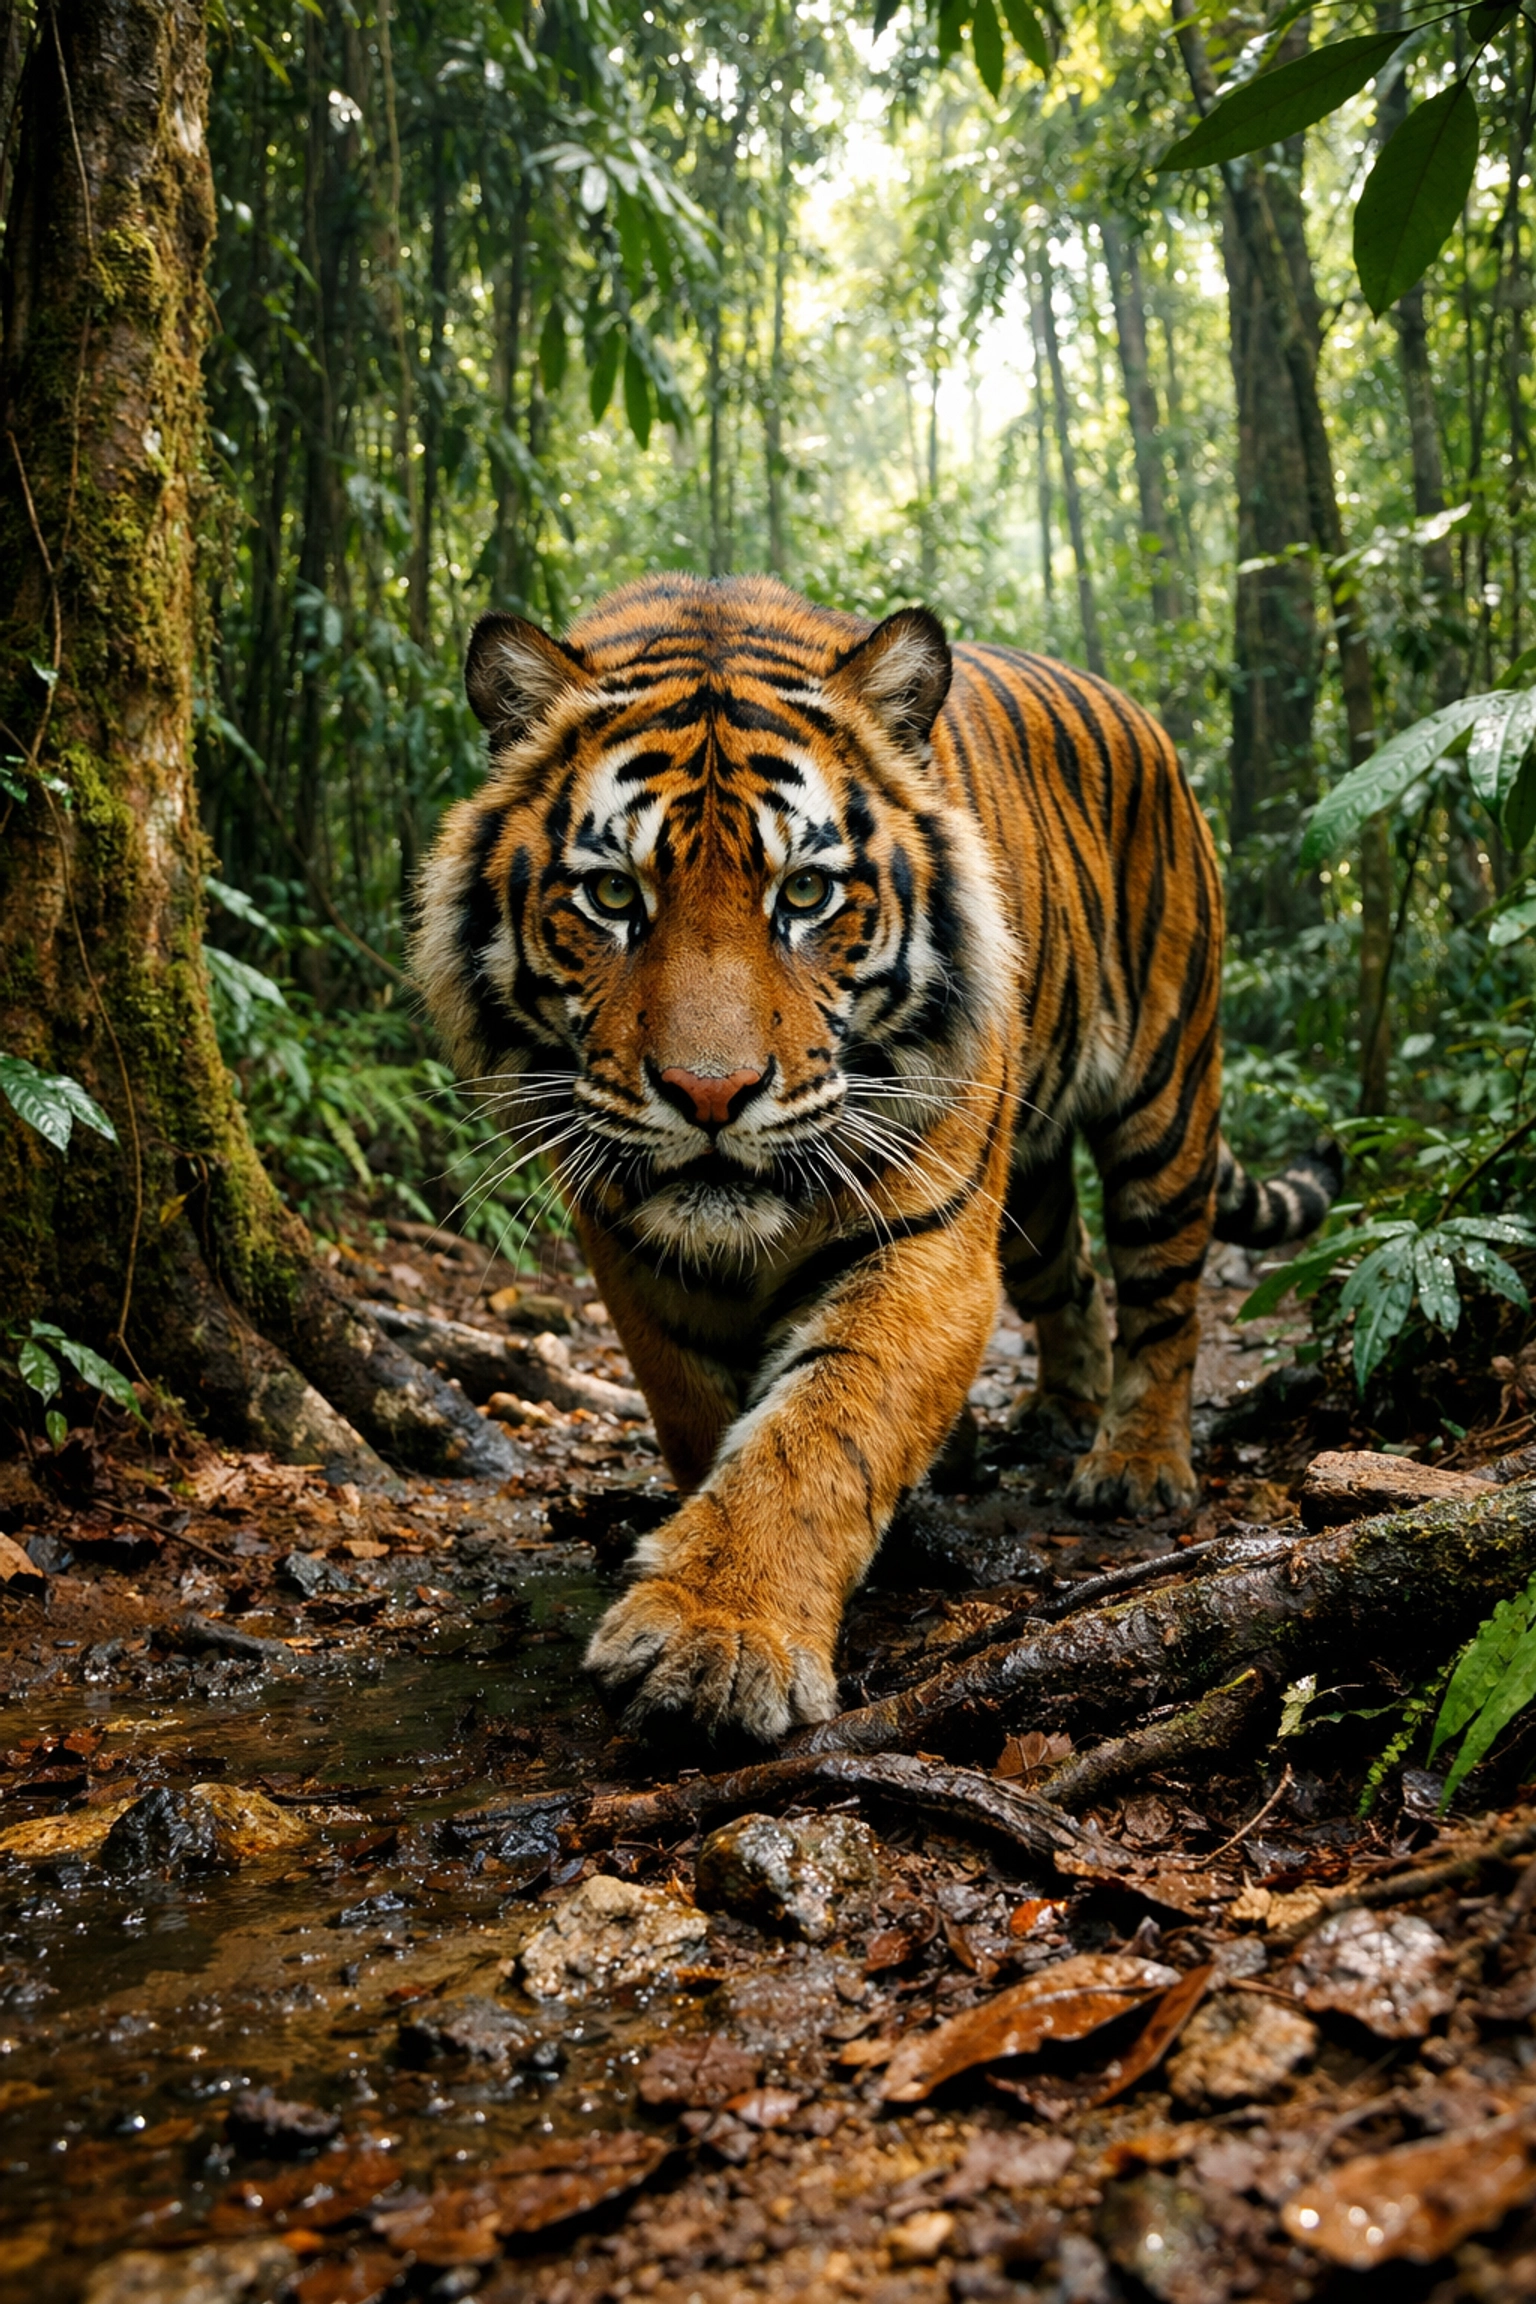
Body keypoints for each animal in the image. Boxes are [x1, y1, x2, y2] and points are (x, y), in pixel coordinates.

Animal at [413, 574, 1340, 1744]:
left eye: (806, 895)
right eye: (613, 897)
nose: (709, 1093)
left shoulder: (927, 1233)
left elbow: (823, 1428)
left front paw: (722, 1637)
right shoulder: (632, 1240)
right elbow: (703, 1410)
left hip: (1165, 1093)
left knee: (1166, 1294)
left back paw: (1133, 1466)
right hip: (1033, 1171)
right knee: (1071, 1277)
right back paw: (1053, 1415)